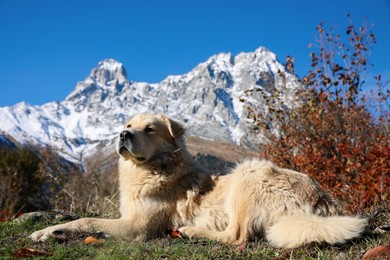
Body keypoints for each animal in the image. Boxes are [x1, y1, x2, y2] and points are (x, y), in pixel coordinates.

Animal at [29, 113, 366, 248]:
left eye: (149, 129)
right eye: (128, 124)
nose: (123, 134)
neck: (152, 168)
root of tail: (322, 203)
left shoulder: (138, 227)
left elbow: (86, 219)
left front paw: (49, 231)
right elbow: (81, 221)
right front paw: (48, 232)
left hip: (248, 172)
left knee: (237, 236)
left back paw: (191, 231)